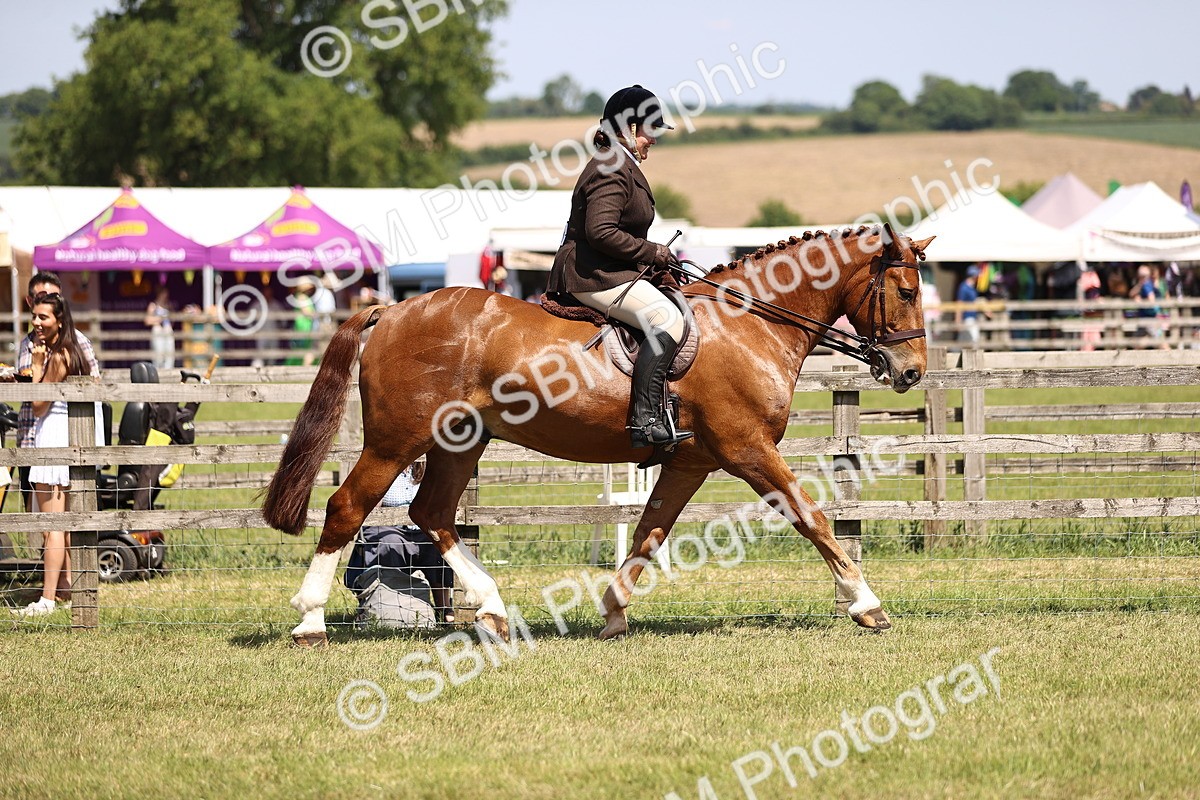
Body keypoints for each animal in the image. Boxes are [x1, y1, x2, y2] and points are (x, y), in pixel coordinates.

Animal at [263, 223, 932, 646]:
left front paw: (612, 614)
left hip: (461, 440)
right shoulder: (749, 451)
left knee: (433, 513)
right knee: (347, 507)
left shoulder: (693, 462)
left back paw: (494, 611)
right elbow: (812, 516)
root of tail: (394, 309)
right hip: (396, 441)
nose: (911, 373)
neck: (749, 325)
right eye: (905, 291)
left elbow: (647, 532)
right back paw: (309, 622)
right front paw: (866, 605)